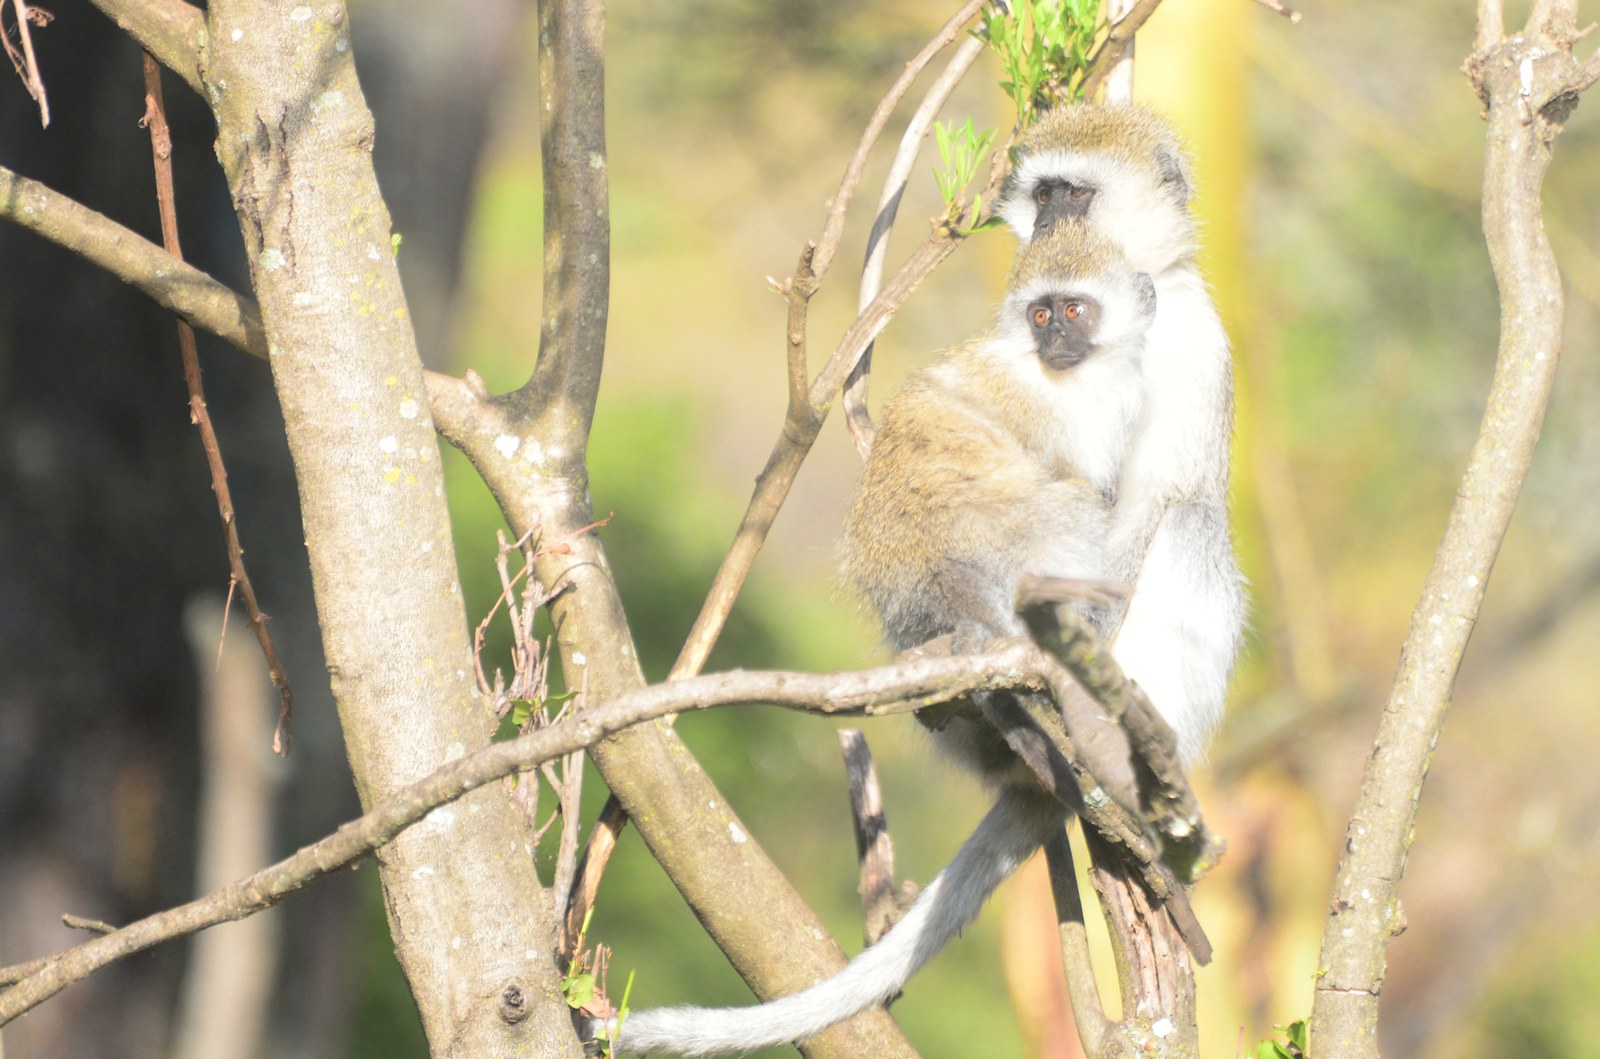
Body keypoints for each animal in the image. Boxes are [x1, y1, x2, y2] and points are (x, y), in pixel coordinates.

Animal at [606, 221, 1157, 1057]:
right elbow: (1087, 476)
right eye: (1043, 313)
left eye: (1074, 309)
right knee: (1074, 510)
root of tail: (955, 586)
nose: (1057, 340)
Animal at [997, 104, 1246, 765]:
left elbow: (1159, 491)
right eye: (1044, 195)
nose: (1047, 226)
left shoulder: (1191, 341)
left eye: (1077, 195)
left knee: (1192, 522)